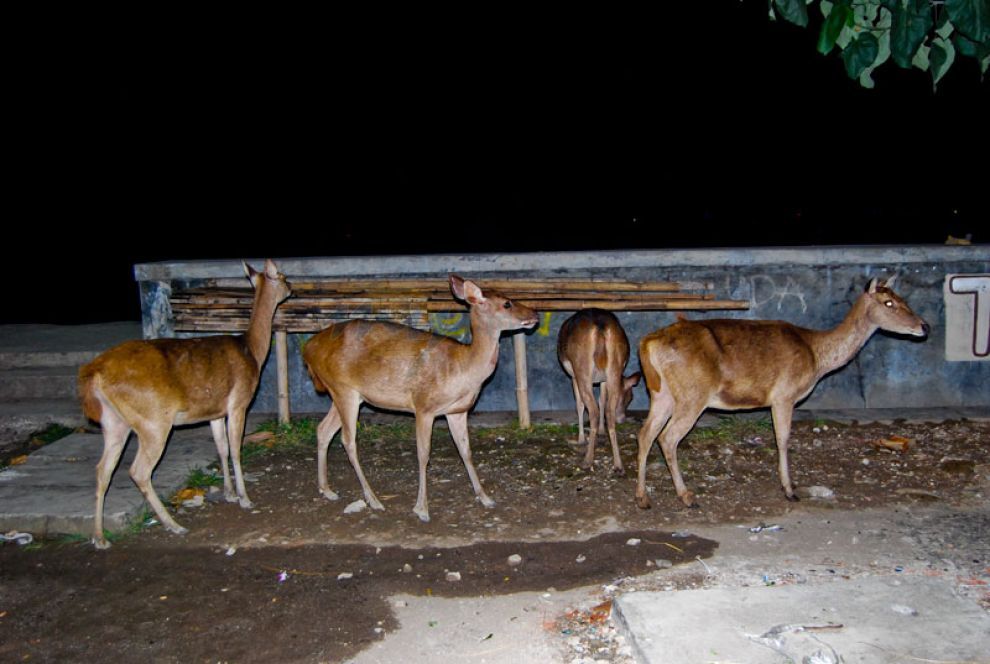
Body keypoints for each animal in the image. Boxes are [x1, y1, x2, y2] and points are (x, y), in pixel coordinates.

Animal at [77, 260, 290, 548]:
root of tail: (94, 373)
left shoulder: (215, 411)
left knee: (103, 470)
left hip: (113, 421)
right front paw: (245, 498)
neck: (253, 351)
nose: (291, 288)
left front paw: (229, 493)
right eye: (283, 277)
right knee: (138, 471)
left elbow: (221, 448)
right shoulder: (239, 403)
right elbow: (236, 449)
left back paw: (99, 537)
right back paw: (173, 524)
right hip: (153, 420)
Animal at [302, 274, 540, 524]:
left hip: (344, 393)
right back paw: (374, 499)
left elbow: (465, 450)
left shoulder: (457, 411)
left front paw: (485, 497)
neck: (463, 368)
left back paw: (327, 489)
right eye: (507, 303)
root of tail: (307, 349)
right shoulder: (423, 405)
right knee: (347, 440)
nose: (535, 314)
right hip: (343, 389)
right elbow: (424, 454)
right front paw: (422, 509)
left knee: (323, 429)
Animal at [560, 308, 644, 474]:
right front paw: (601, 431)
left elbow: (580, 404)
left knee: (592, 410)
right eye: (630, 397)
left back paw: (587, 460)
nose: (622, 418)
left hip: (582, 370)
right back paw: (618, 465)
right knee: (609, 411)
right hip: (614, 369)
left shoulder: (573, 375)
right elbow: (602, 401)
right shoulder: (603, 379)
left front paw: (580, 439)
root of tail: (600, 325)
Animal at [636, 274, 928, 508]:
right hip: (693, 394)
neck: (817, 358)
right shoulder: (784, 395)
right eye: (888, 302)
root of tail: (648, 343)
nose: (925, 326)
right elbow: (783, 438)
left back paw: (643, 497)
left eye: (902, 297)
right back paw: (686, 496)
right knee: (668, 437)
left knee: (646, 433)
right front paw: (789, 489)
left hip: (662, 393)